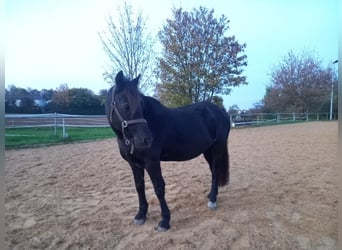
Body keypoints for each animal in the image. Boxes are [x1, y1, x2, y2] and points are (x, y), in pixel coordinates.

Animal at [106, 71, 230, 231]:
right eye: (125, 104)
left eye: (141, 104)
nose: (146, 139)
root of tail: (220, 111)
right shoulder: (134, 164)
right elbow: (139, 186)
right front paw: (141, 215)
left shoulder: (152, 162)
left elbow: (159, 188)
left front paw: (164, 221)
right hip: (208, 151)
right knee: (213, 171)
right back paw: (210, 195)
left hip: (217, 148)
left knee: (215, 171)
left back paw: (213, 200)